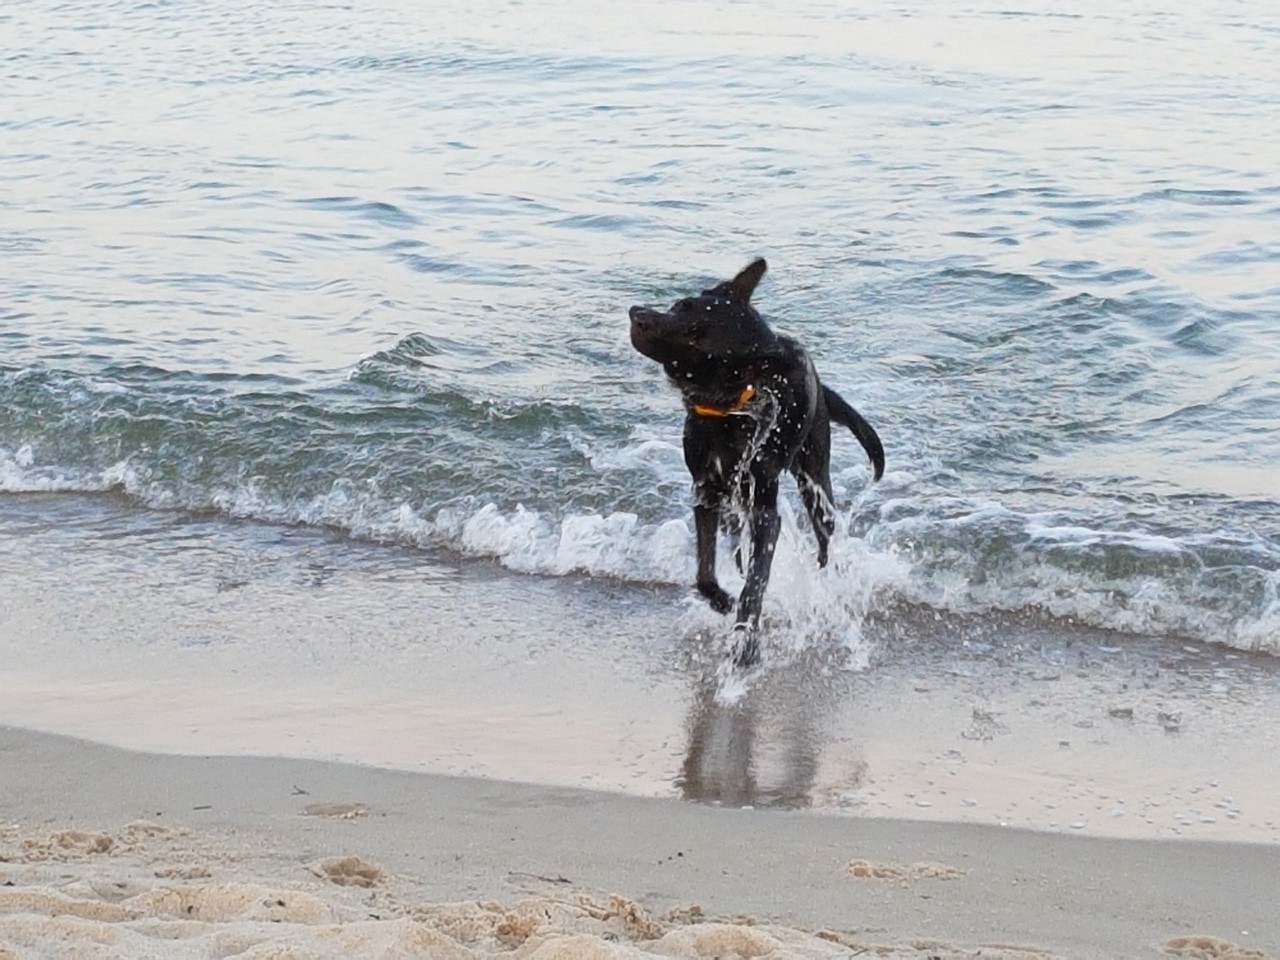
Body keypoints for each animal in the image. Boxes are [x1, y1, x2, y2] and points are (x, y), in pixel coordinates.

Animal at [629, 258, 884, 666]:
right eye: (680, 305)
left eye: (696, 338)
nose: (636, 314)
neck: (729, 412)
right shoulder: (706, 492)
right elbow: (704, 570)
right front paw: (720, 599)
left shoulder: (765, 509)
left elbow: (755, 583)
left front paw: (746, 641)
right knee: (734, 540)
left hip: (814, 479)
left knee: (825, 537)